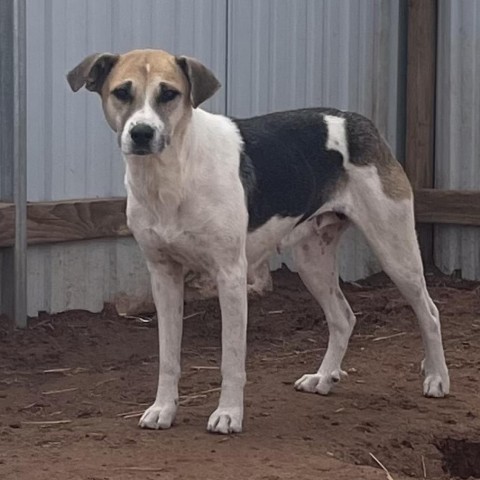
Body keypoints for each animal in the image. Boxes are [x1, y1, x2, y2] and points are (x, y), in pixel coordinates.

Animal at [68, 48, 450, 436]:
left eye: (169, 94)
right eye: (122, 92)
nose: (142, 133)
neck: (172, 174)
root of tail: (355, 120)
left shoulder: (231, 276)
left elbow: (231, 359)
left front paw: (228, 414)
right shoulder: (164, 276)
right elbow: (168, 357)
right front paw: (163, 409)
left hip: (395, 251)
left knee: (429, 312)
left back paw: (436, 379)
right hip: (312, 261)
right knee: (343, 317)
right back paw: (324, 377)